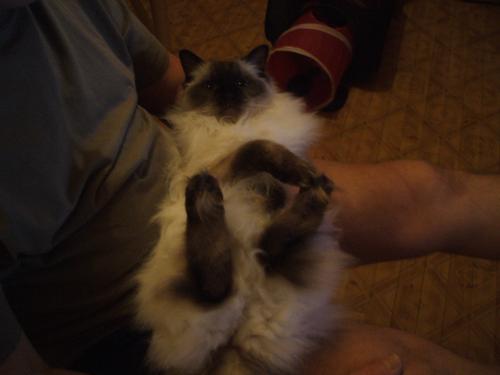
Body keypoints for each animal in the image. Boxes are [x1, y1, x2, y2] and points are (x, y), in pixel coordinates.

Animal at [136, 45, 348, 374]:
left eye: (239, 84)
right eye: (211, 86)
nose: (228, 95)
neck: (235, 125)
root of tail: (236, 340)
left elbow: (263, 149)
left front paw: (308, 175)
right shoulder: (220, 168)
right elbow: (259, 147)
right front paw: (301, 172)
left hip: (270, 259)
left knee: (265, 248)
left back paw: (315, 193)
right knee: (214, 283)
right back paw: (205, 198)